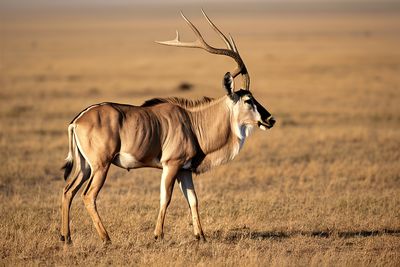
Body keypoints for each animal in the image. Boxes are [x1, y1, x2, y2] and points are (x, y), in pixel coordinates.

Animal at [59, 10, 276, 245]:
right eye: (248, 100)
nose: (270, 119)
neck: (192, 122)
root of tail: (78, 120)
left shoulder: (184, 170)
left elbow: (193, 199)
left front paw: (201, 236)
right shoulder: (171, 165)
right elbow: (166, 198)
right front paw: (158, 235)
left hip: (85, 166)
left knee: (68, 191)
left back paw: (66, 237)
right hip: (100, 165)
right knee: (88, 195)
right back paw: (106, 238)